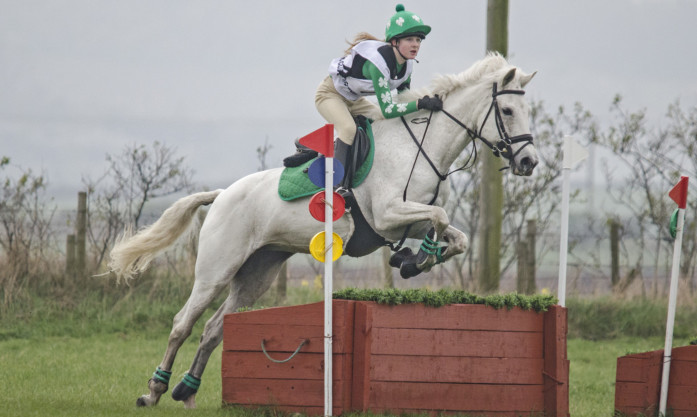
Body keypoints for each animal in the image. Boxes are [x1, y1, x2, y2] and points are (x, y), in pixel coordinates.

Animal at [110, 52, 540, 406]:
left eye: (526, 109)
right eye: (506, 109)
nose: (529, 162)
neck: (421, 148)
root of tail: (222, 194)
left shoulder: (410, 218)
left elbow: (453, 233)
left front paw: (416, 259)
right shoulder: (388, 214)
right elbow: (441, 218)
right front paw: (413, 260)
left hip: (258, 272)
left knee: (215, 328)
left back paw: (187, 390)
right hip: (217, 269)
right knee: (183, 324)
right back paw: (155, 390)